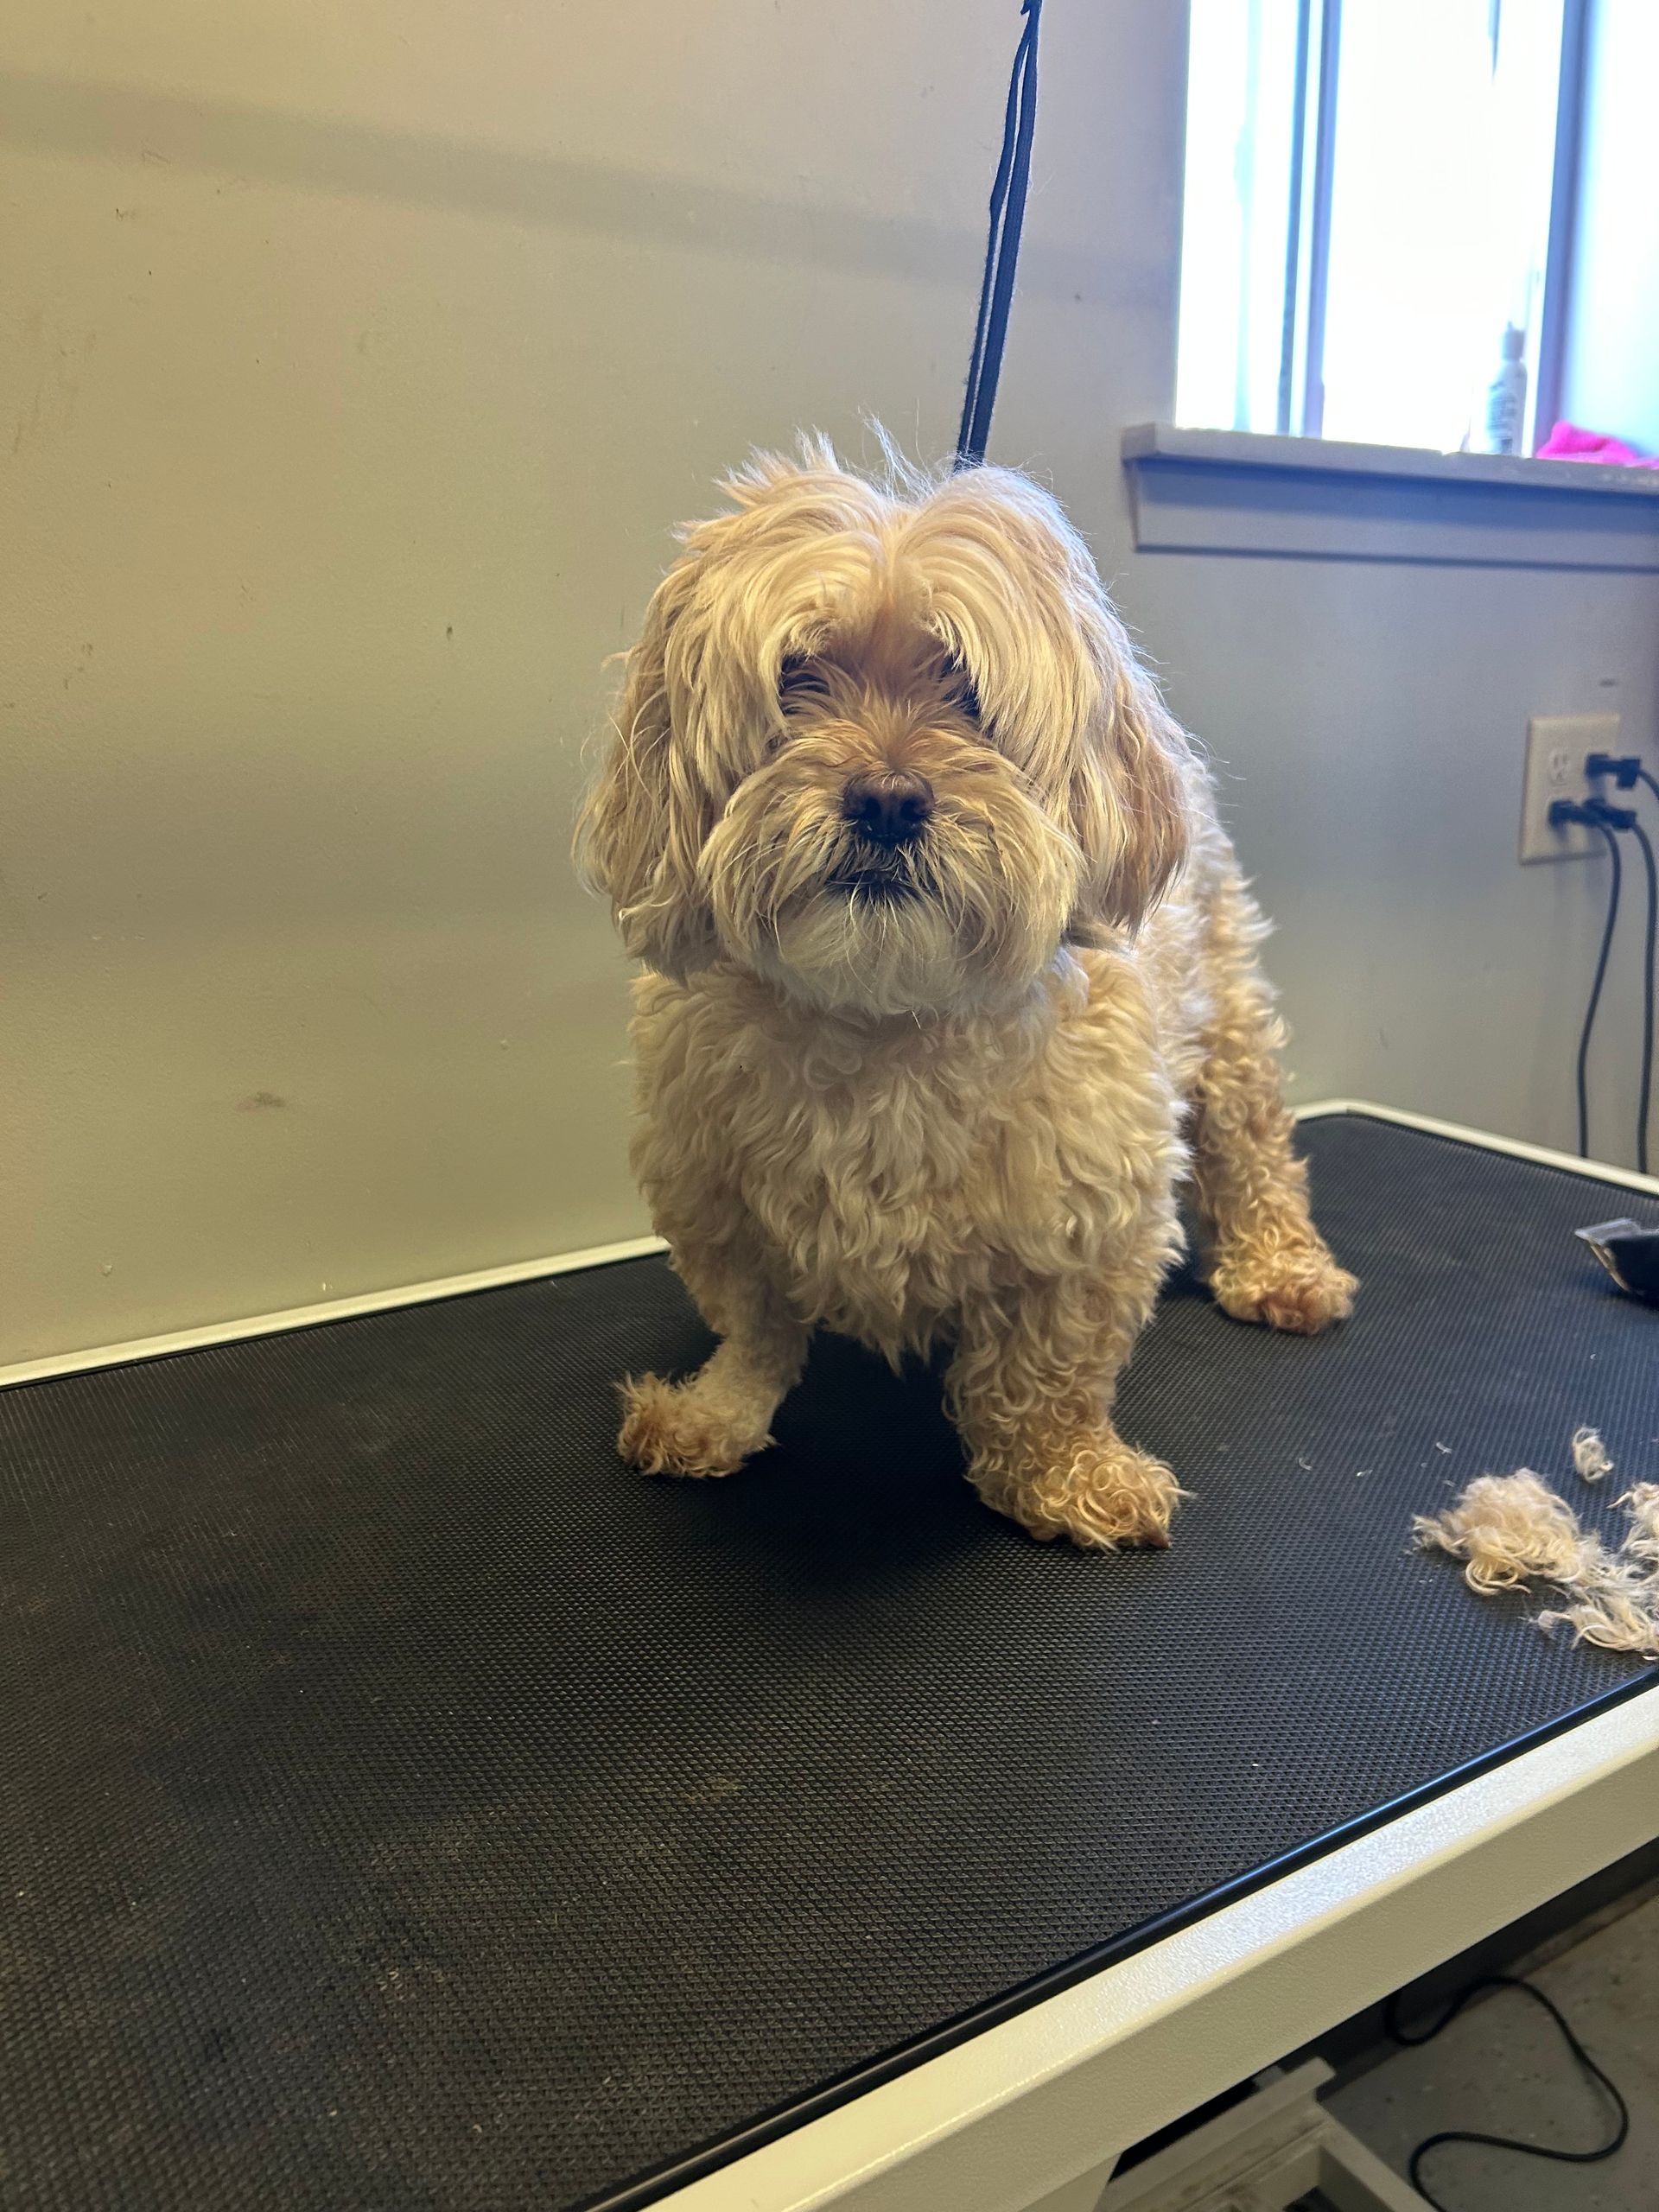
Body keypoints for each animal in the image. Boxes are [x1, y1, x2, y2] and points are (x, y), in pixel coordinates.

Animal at [579, 440, 1353, 1548]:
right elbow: (754, 1330)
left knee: (1254, 1150)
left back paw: (1280, 1267)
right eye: (798, 675)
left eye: (967, 692)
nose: (888, 799)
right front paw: (714, 1413)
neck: (883, 1014)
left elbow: (1047, 1369)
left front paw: (1064, 1473)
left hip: (1229, 1012)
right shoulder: (711, 1190)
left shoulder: (1091, 1213)